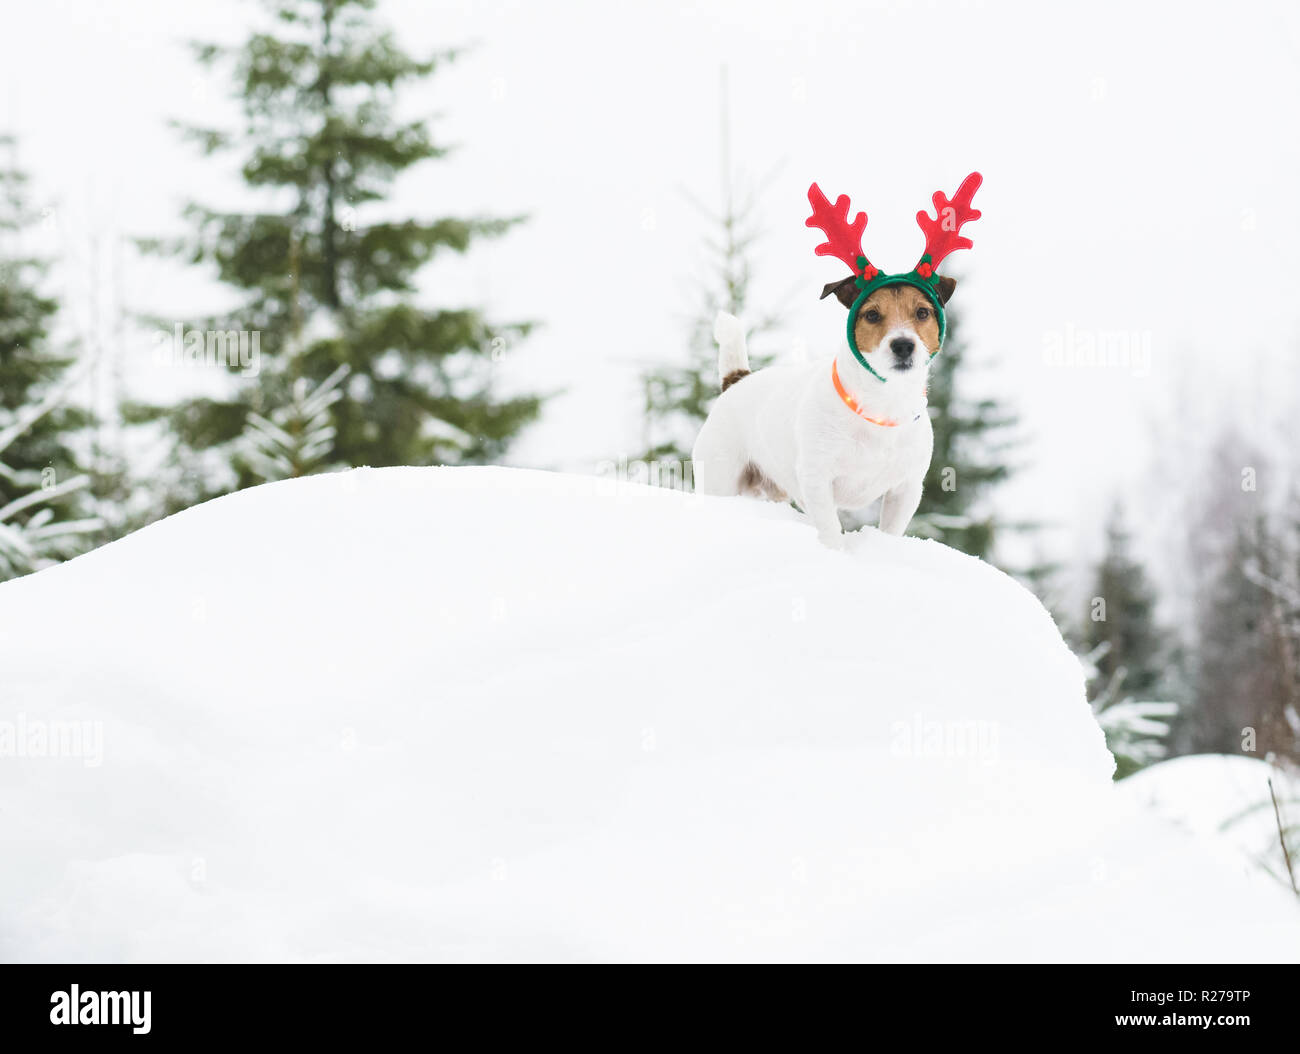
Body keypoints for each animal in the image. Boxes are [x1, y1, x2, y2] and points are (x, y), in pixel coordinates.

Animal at [691, 171, 977, 553]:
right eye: (872, 315)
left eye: (922, 312)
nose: (903, 345)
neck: (880, 406)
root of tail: (737, 380)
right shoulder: (816, 478)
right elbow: (829, 530)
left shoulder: (905, 489)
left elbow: (890, 530)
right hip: (720, 475)